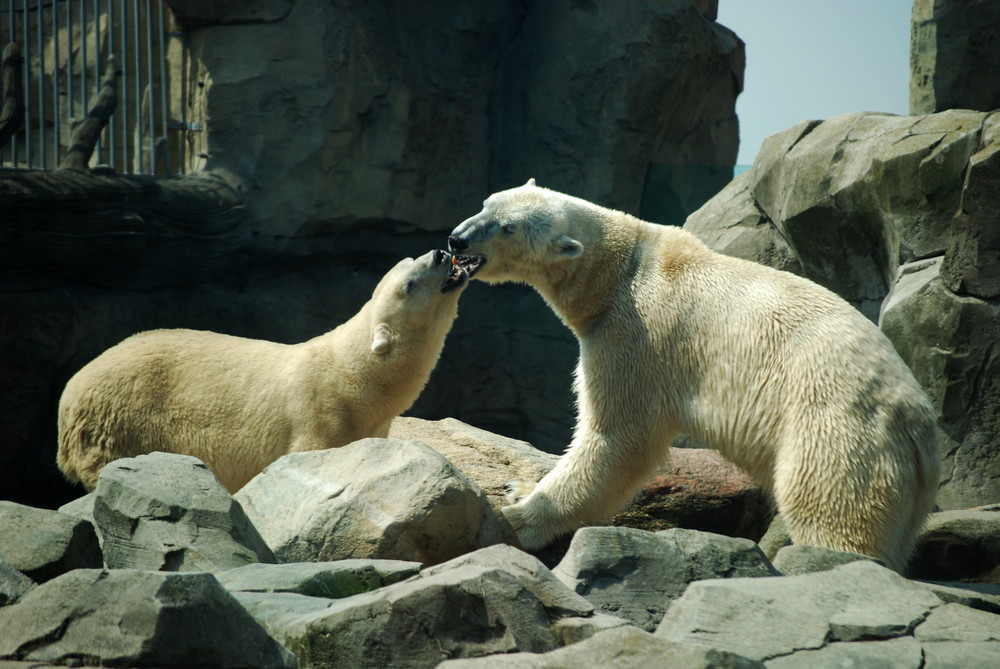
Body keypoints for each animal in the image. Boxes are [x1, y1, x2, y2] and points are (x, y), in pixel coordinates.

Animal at [58, 249, 472, 490]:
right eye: (410, 283)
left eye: (410, 261)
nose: (441, 253)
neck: (354, 377)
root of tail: (71, 391)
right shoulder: (319, 417)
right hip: (119, 426)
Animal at [450, 180, 940, 572]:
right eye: (486, 203)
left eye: (508, 227)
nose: (457, 239)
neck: (618, 268)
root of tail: (914, 418)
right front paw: (520, 487)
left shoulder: (635, 336)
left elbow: (618, 438)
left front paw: (517, 515)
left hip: (836, 432)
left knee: (832, 515)